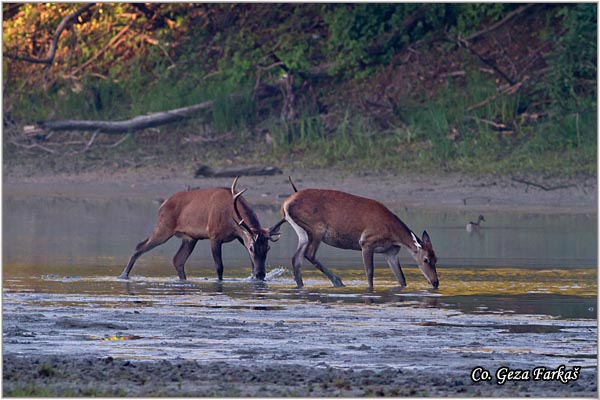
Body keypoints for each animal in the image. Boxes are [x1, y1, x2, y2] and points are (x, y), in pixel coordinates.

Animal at [119, 177, 286, 282]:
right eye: (252, 247)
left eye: (268, 248)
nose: (261, 274)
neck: (231, 218)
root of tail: (162, 205)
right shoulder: (214, 235)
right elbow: (219, 267)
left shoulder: (239, 237)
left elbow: (250, 264)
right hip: (163, 227)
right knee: (140, 246)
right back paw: (123, 275)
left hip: (190, 238)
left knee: (177, 260)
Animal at [278, 179, 438, 290]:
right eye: (425, 259)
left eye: (436, 259)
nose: (435, 282)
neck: (394, 235)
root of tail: (285, 204)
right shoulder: (366, 242)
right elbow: (369, 273)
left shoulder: (390, 252)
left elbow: (401, 279)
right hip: (317, 229)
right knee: (309, 254)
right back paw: (337, 281)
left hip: (302, 232)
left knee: (296, 259)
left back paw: (301, 285)